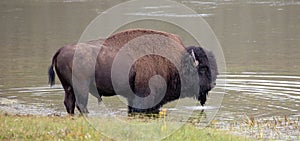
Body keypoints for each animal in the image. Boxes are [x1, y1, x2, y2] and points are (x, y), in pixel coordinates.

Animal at [48, 28, 216, 114]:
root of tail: (61, 50)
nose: (212, 84)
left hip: (68, 88)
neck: (178, 60)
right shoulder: (146, 95)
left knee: (70, 103)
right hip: (80, 86)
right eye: (202, 69)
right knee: (81, 104)